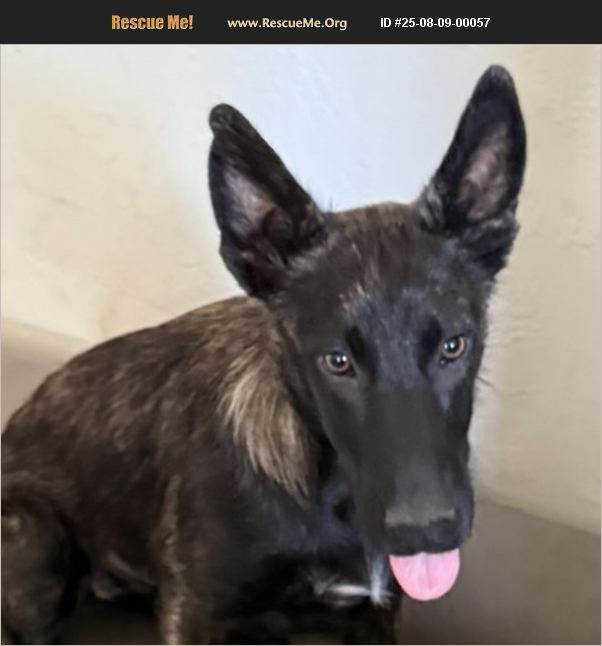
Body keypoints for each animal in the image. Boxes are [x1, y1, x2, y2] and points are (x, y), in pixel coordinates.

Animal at [1, 65, 526, 644]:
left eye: (454, 346)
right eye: (337, 361)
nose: (427, 533)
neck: (328, 486)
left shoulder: (376, 615)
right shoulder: (195, 613)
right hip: (35, 538)